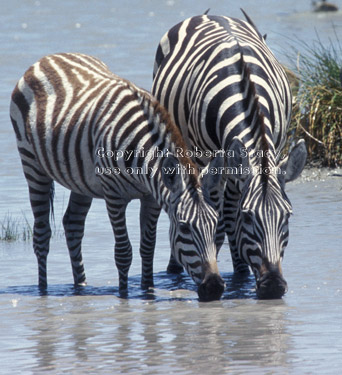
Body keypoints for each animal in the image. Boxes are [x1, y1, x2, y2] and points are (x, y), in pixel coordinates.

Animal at [10, 51, 226, 302]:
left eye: (216, 224)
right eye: (183, 228)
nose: (214, 287)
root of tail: (48, 58)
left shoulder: (151, 198)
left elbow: (147, 247)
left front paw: (148, 289)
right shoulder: (114, 196)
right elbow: (123, 252)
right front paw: (124, 293)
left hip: (80, 179)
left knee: (73, 225)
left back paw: (81, 285)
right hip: (32, 164)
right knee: (42, 234)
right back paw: (43, 290)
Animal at [152, 12, 308, 300]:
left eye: (288, 216)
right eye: (248, 217)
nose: (273, 287)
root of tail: (211, 15)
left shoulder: (269, 151)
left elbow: (227, 214)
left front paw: (241, 272)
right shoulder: (204, 159)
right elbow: (216, 213)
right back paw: (174, 267)